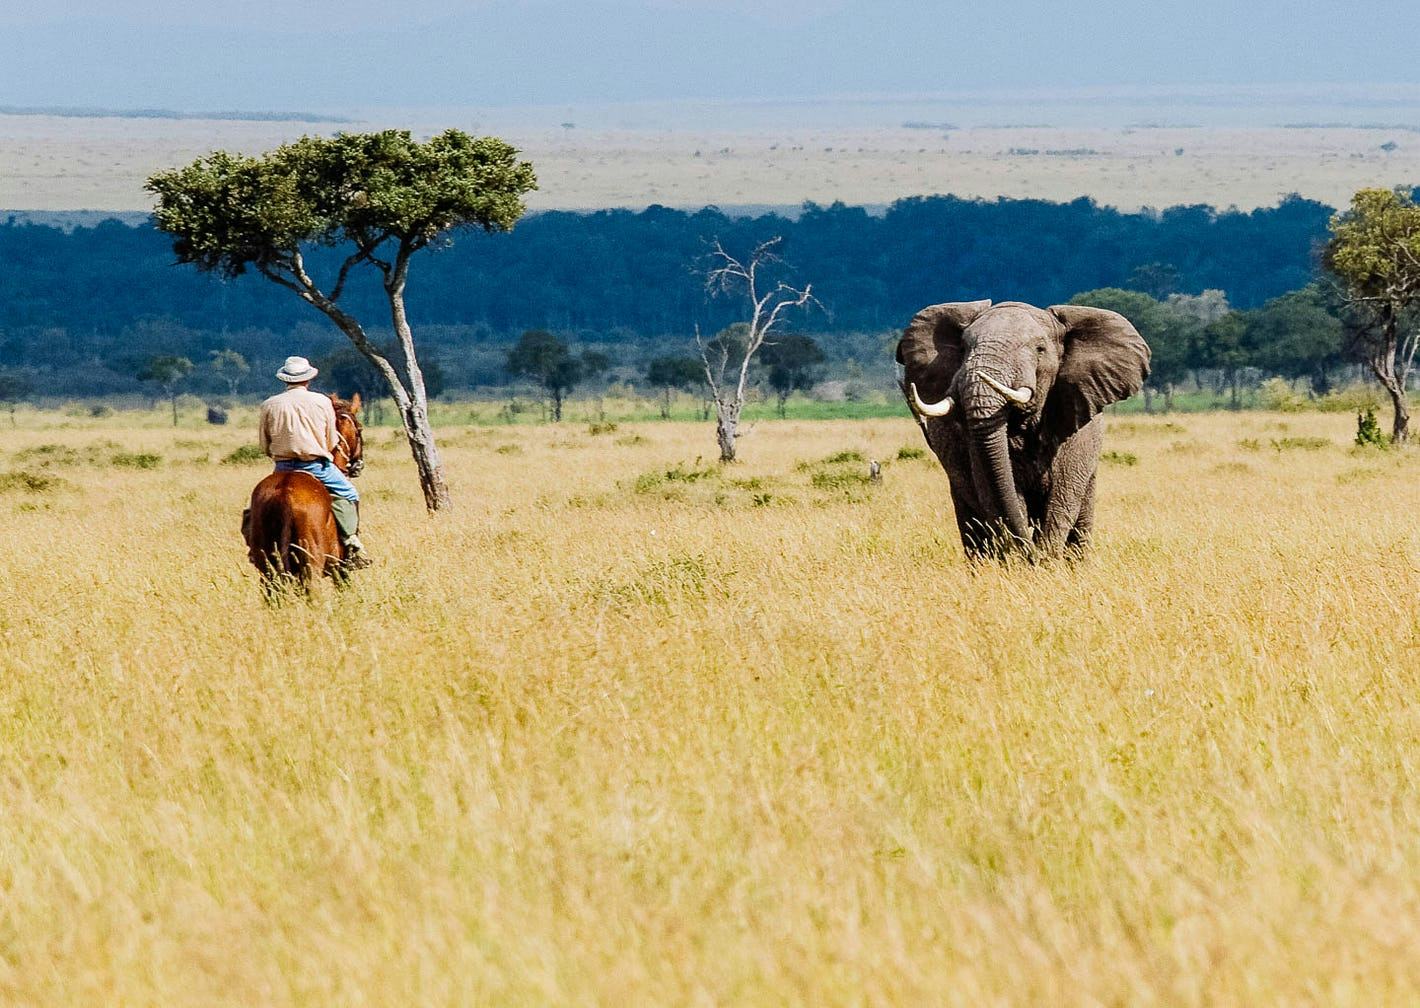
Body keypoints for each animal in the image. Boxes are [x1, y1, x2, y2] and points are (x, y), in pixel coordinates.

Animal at [244, 391, 366, 587]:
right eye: (359, 429)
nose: (358, 465)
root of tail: (285, 493)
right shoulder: (340, 570)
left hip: (267, 570)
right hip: (311, 565)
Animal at [897, 299, 1153, 565]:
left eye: (1040, 349)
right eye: (964, 347)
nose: (1030, 556)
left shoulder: (1076, 434)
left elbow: (1061, 500)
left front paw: (1045, 562)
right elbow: (1000, 496)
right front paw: (1023, 562)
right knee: (972, 525)